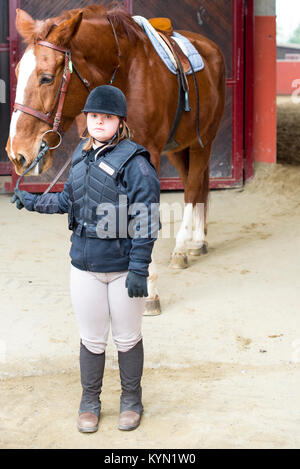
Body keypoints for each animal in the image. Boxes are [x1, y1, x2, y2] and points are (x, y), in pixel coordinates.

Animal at [5, 3, 225, 314]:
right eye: (17, 71)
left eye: (46, 77)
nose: (17, 154)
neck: (124, 74)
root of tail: (209, 46)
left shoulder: (149, 153)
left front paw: (149, 291)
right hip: (179, 147)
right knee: (195, 185)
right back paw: (198, 240)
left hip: (204, 140)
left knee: (194, 188)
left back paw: (183, 248)